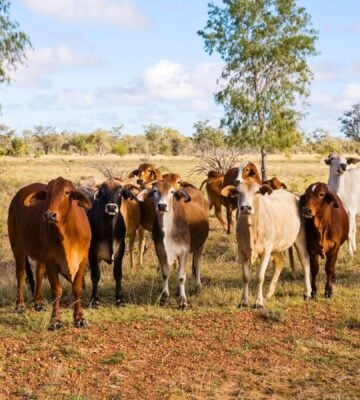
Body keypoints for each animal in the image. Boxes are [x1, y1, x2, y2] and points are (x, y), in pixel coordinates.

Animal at [7, 177, 92, 330]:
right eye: (46, 194)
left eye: (67, 192)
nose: (49, 215)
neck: (67, 234)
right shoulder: (51, 260)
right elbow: (56, 290)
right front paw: (56, 321)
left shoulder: (82, 259)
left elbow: (77, 288)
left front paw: (79, 319)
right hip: (17, 247)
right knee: (20, 274)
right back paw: (19, 305)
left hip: (40, 256)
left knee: (39, 272)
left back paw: (38, 303)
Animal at [87, 178, 134, 306]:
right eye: (103, 192)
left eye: (120, 192)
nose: (111, 207)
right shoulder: (92, 251)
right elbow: (95, 275)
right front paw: (95, 300)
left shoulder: (120, 248)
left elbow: (118, 273)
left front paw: (119, 299)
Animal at [139, 180, 211, 310]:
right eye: (154, 191)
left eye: (172, 191)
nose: (162, 206)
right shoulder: (160, 251)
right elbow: (165, 274)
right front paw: (164, 298)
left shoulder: (184, 251)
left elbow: (181, 276)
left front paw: (183, 301)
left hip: (200, 245)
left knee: (197, 265)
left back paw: (197, 287)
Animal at [221, 177, 310, 306]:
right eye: (238, 192)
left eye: (257, 192)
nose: (245, 208)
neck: (252, 227)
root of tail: (295, 197)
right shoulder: (242, 252)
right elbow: (245, 277)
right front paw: (243, 301)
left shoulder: (266, 252)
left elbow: (260, 277)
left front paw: (258, 302)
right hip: (276, 247)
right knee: (279, 264)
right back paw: (269, 293)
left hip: (300, 239)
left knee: (305, 262)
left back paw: (307, 293)